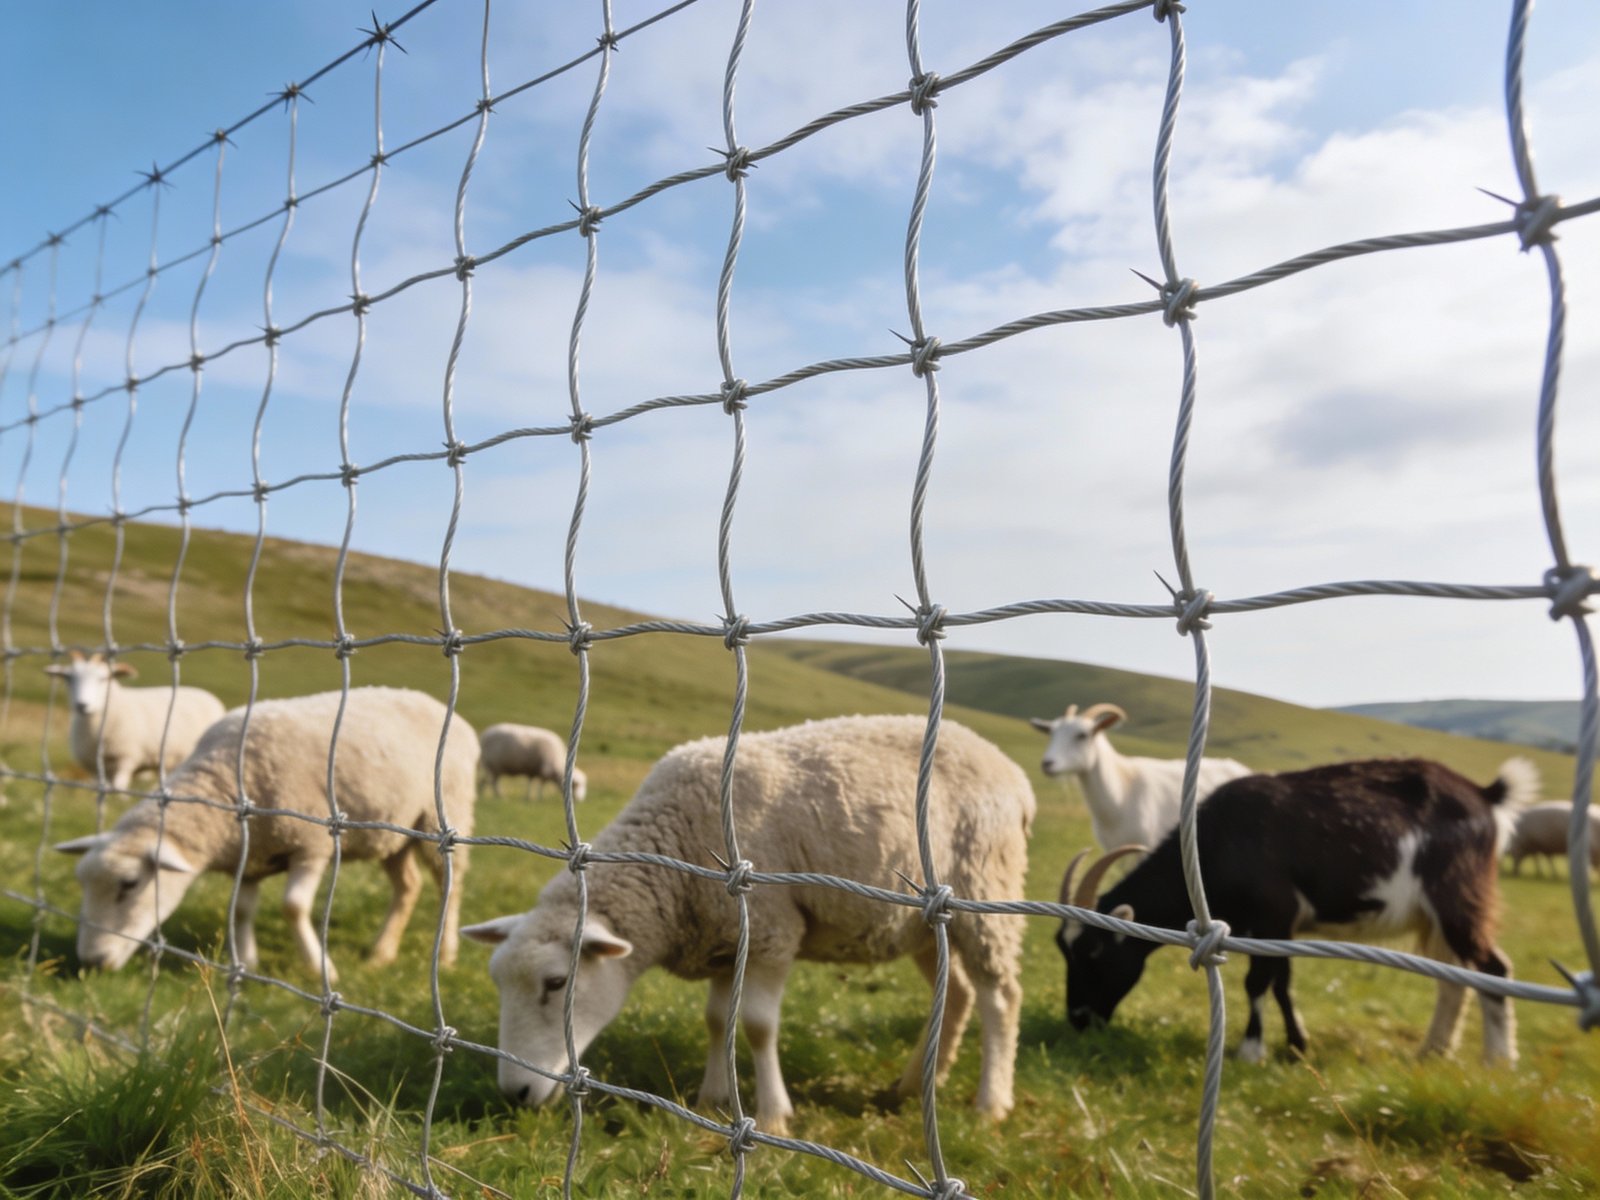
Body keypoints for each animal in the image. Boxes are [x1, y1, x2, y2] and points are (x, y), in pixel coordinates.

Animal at [43, 651, 226, 793]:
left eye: (103, 679)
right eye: (68, 678)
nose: (82, 705)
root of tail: (207, 694)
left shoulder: (127, 757)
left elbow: (119, 787)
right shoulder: (94, 767)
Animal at [53, 687, 478, 982]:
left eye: (129, 884)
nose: (91, 962)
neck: (224, 784)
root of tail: (442, 708)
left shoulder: (311, 844)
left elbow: (293, 907)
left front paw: (321, 969)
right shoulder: (251, 858)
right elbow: (242, 910)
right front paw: (248, 961)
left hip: (443, 815)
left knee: (451, 886)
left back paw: (447, 954)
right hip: (393, 834)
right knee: (408, 886)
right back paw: (381, 953)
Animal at [463, 713, 1035, 1135]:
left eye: (557, 983)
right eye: (497, 982)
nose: (514, 1094)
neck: (674, 864)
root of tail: (1013, 773)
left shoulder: (769, 933)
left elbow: (758, 1025)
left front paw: (775, 1114)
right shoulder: (722, 936)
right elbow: (717, 1020)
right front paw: (712, 1096)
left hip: (985, 890)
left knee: (999, 997)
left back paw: (991, 1102)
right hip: (924, 922)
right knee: (956, 993)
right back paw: (916, 1083)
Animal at [1059, 757, 1537, 1066]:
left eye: (1095, 952)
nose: (1078, 1020)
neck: (1219, 840)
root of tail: (1485, 795)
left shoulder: (1274, 911)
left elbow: (1257, 982)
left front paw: (1251, 1051)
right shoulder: (1280, 926)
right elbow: (1282, 983)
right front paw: (1296, 1045)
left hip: (1457, 899)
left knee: (1493, 968)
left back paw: (1499, 1061)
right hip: (1433, 917)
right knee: (1453, 979)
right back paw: (1432, 1051)